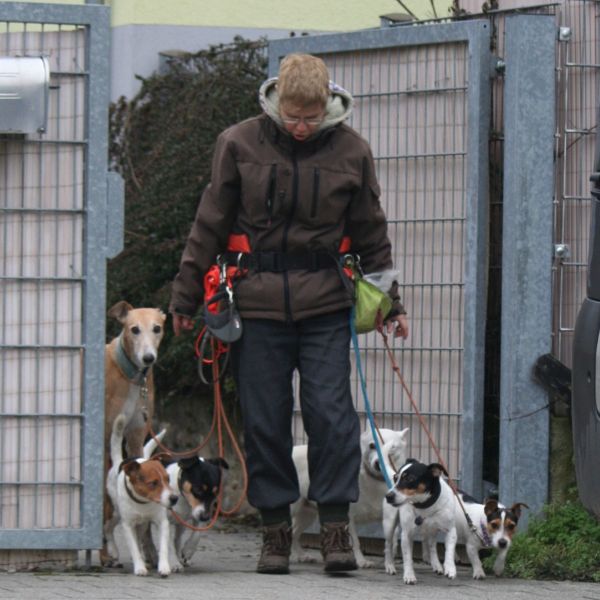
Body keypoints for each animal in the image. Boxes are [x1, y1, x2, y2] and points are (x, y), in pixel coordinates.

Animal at [290, 426, 408, 568]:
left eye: (392, 447)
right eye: (372, 445)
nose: (378, 464)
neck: (376, 480)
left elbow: (393, 539)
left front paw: (391, 559)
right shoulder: (348, 517)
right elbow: (355, 542)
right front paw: (361, 561)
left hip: (306, 515)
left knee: (294, 533)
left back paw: (301, 556)